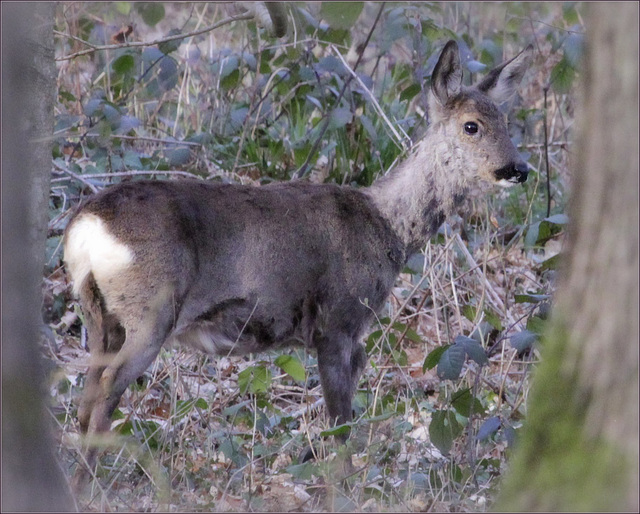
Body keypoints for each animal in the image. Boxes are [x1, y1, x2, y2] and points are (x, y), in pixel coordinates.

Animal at [65, 41, 532, 484]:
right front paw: (345, 487)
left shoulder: (353, 336)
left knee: (85, 399)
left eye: (506, 122)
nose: (519, 168)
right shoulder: (337, 322)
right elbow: (341, 428)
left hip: (99, 316)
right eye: (471, 125)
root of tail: (85, 227)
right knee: (104, 394)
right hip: (151, 309)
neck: (388, 228)